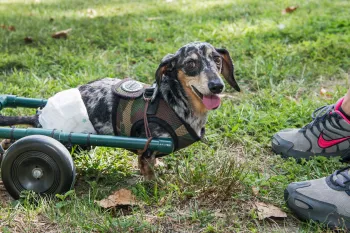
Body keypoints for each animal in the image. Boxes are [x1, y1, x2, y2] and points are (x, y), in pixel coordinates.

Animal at [0, 41, 239, 179]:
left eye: (217, 60)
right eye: (190, 64)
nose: (217, 86)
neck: (173, 101)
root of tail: (39, 114)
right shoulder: (147, 145)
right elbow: (148, 171)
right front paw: (156, 186)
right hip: (58, 140)